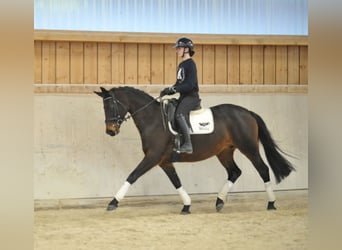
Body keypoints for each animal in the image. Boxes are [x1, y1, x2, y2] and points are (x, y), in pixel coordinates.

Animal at [95, 86, 296, 215]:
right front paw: (186, 206)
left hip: (249, 148)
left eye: (111, 105)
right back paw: (219, 201)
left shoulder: (152, 157)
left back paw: (271, 203)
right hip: (224, 152)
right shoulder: (164, 162)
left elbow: (132, 176)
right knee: (234, 172)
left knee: (262, 169)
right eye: (103, 107)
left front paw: (113, 203)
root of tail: (247, 112)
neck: (153, 120)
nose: (110, 131)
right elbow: (176, 182)